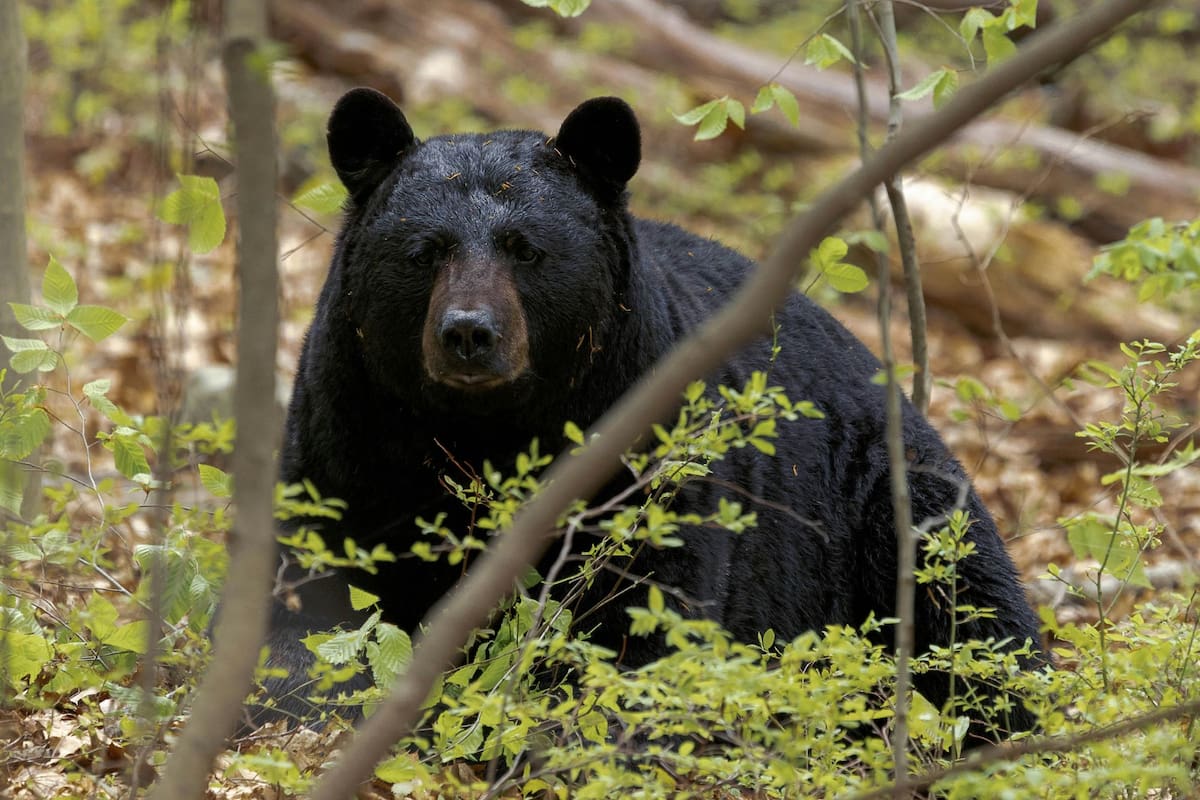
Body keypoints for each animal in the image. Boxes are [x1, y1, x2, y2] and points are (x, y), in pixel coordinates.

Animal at [256, 87, 1042, 741]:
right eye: (425, 251)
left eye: (525, 249)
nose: (469, 333)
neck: (485, 430)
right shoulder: (350, 432)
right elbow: (311, 592)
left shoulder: (644, 450)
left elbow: (646, 613)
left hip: (886, 502)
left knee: (974, 613)